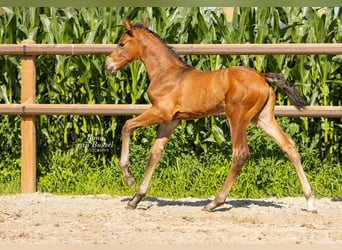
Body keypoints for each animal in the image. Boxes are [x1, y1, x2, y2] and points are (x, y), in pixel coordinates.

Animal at [105, 18, 316, 213]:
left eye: (122, 43)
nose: (108, 66)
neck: (166, 73)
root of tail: (262, 77)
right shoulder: (171, 121)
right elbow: (155, 154)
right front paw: (136, 198)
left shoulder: (160, 112)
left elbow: (127, 126)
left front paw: (129, 179)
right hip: (263, 119)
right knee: (289, 146)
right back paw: (310, 201)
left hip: (237, 117)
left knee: (240, 154)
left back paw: (214, 202)